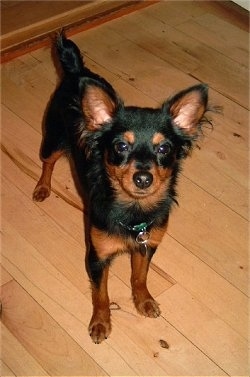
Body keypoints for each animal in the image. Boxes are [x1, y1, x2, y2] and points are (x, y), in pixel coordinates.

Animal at [33, 33, 209, 344]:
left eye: (164, 149)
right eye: (120, 147)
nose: (143, 178)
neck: (134, 211)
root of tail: (76, 71)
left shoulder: (146, 245)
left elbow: (139, 276)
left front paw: (144, 301)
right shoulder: (97, 257)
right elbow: (101, 293)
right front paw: (101, 323)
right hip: (52, 139)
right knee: (48, 163)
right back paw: (43, 187)